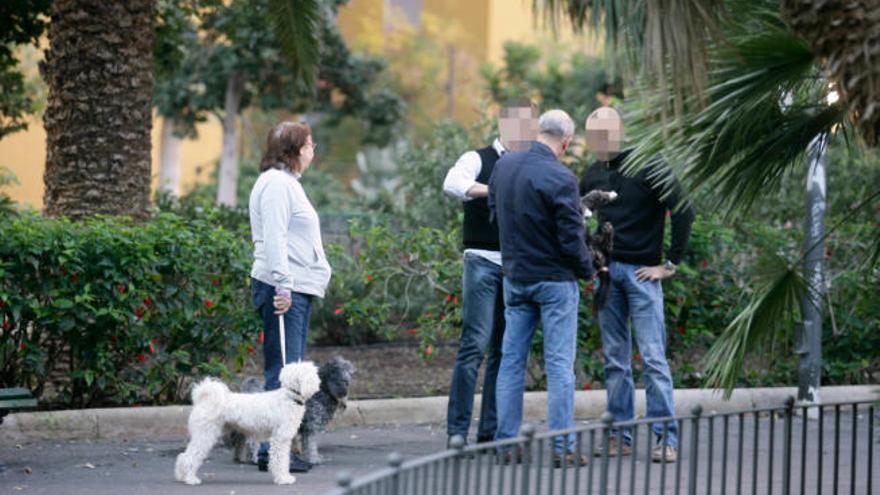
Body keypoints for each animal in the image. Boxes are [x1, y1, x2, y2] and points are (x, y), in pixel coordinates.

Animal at [174, 362, 322, 486]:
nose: (319, 382)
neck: (289, 397)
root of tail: (205, 399)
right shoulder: (280, 439)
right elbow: (280, 460)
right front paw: (283, 479)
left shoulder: (282, 440)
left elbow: (283, 459)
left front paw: (284, 476)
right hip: (205, 435)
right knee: (190, 456)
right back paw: (190, 479)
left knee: (184, 456)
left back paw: (181, 476)